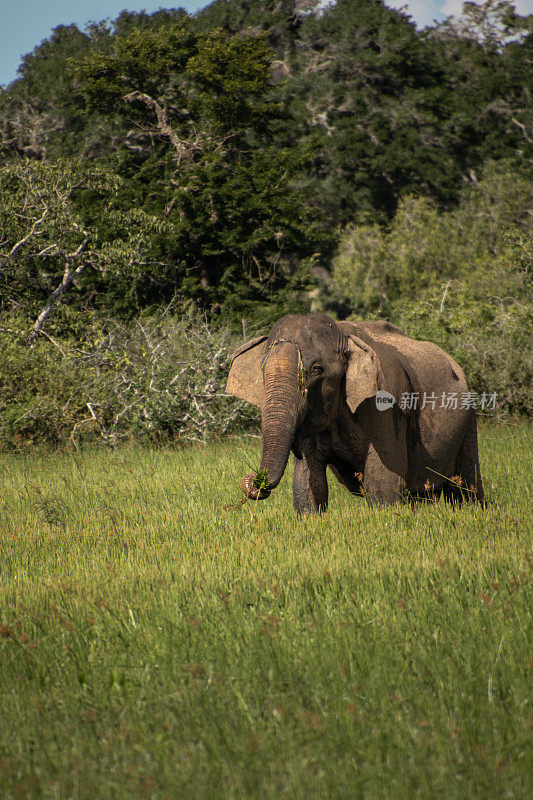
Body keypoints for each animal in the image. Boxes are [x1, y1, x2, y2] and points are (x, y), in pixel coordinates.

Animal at [227, 312, 484, 512]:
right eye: (262, 371)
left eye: (317, 369)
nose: (254, 481)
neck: (343, 334)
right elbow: (309, 484)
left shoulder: (385, 403)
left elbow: (381, 483)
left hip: (467, 421)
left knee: (465, 485)